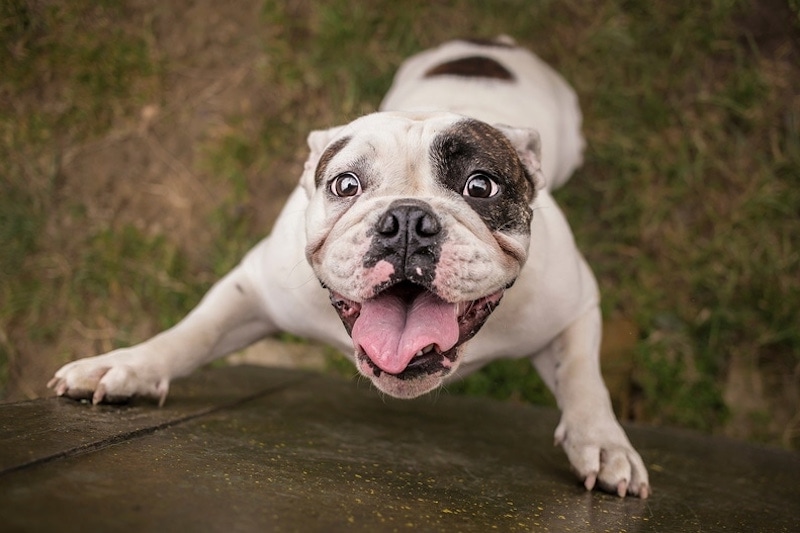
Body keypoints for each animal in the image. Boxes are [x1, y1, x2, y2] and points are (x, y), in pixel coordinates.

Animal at [48, 37, 648, 498]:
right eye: (345, 184)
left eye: (482, 186)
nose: (407, 220)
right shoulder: (254, 289)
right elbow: (194, 333)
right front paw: (126, 366)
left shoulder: (575, 305)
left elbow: (584, 378)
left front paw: (604, 443)